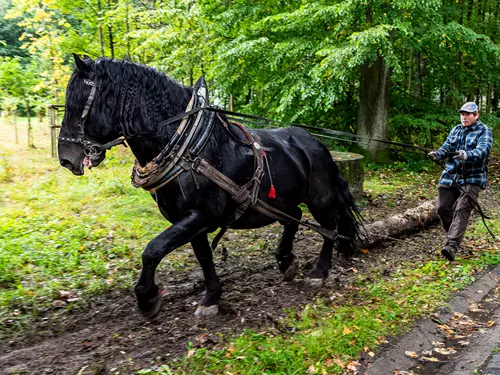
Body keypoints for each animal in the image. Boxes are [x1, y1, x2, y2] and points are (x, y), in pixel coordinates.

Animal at [58, 55, 362, 320]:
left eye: (78, 104)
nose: (65, 158)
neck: (189, 148)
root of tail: (317, 144)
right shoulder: (190, 219)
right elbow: (203, 256)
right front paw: (211, 297)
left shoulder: (201, 215)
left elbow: (153, 250)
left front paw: (147, 298)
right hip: (281, 201)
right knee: (295, 218)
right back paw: (285, 261)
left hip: (320, 198)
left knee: (330, 228)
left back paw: (318, 272)